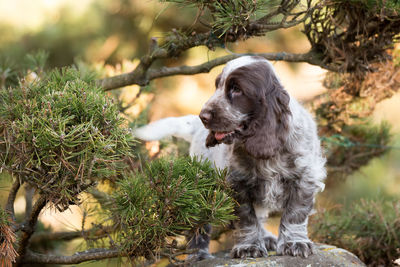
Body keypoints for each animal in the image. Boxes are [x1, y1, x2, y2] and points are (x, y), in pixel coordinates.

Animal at [134, 56, 324, 260]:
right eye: (217, 86)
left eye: (237, 89)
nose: (203, 116)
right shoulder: (237, 183)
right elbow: (246, 219)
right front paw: (249, 247)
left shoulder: (304, 178)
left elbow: (295, 213)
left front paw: (294, 243)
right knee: (199, 223)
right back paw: (197, 254)